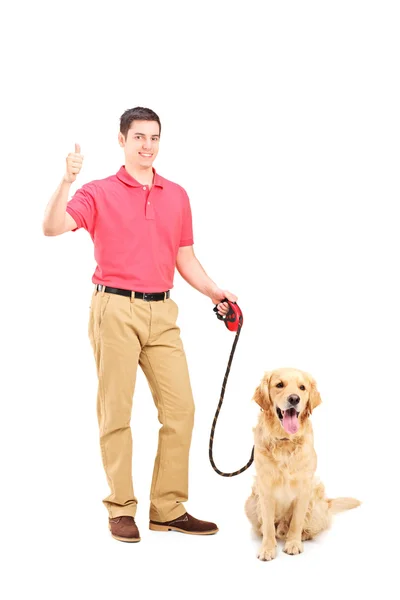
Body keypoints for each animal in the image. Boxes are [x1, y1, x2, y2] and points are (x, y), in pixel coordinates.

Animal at [245, 368, 360, 560]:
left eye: (302, 387)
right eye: (279, 385)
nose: (294, 399)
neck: (285, 440)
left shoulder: (304, 487)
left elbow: (297, 521)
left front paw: (293, 543)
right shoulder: (265, 488)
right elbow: (268, 524)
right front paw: (267, 548)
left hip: (316, 499)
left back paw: (303, 535)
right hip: (251, 502)